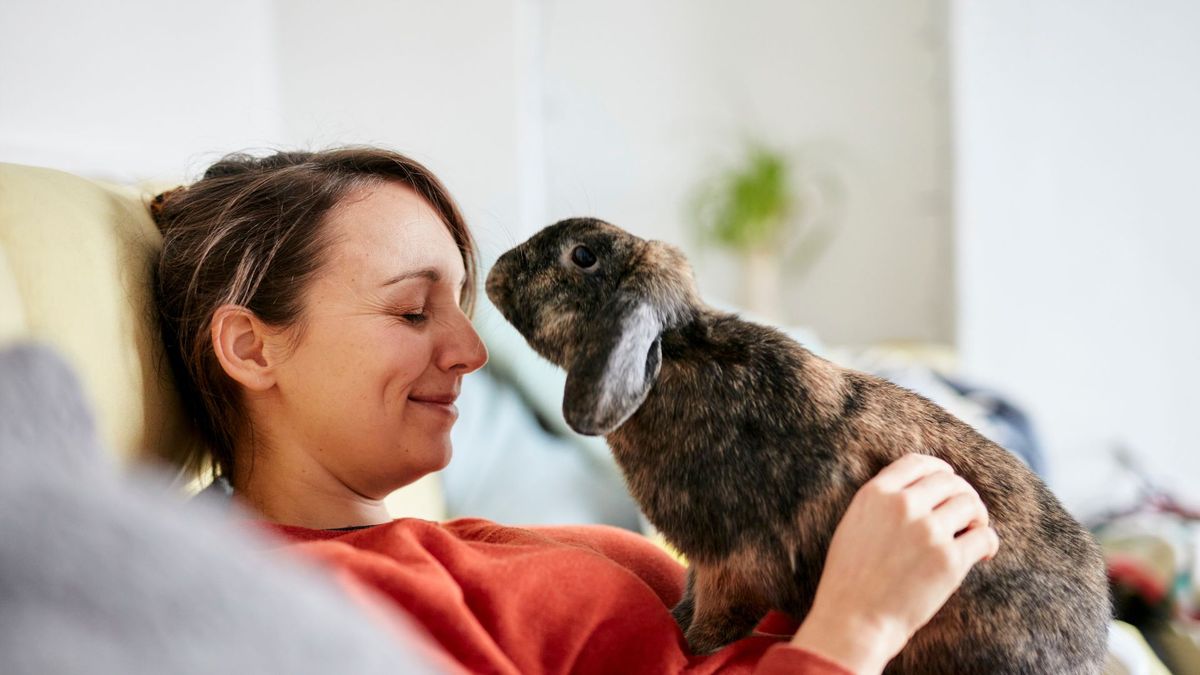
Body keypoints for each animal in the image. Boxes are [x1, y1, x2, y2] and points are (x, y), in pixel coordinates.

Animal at [482, 216, 1108, 672]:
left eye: (583, 256)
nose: (494, 273)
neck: (677, 357)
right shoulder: (704, 565)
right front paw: (676, 624)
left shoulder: (733, 564)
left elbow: (713, 625)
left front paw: (690, 647)